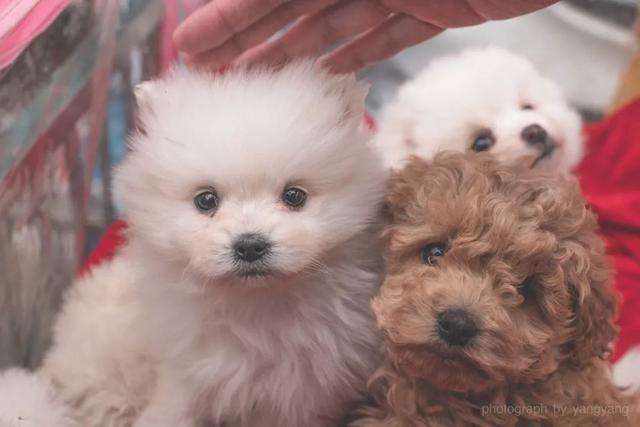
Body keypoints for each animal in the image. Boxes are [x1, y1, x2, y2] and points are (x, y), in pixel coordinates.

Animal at [33, 63, 384, 427]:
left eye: (294, 196)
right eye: (206, 200)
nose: (250, 246)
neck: (259, 303)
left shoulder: (307, 392)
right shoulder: (186, 375)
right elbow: (172, 412)